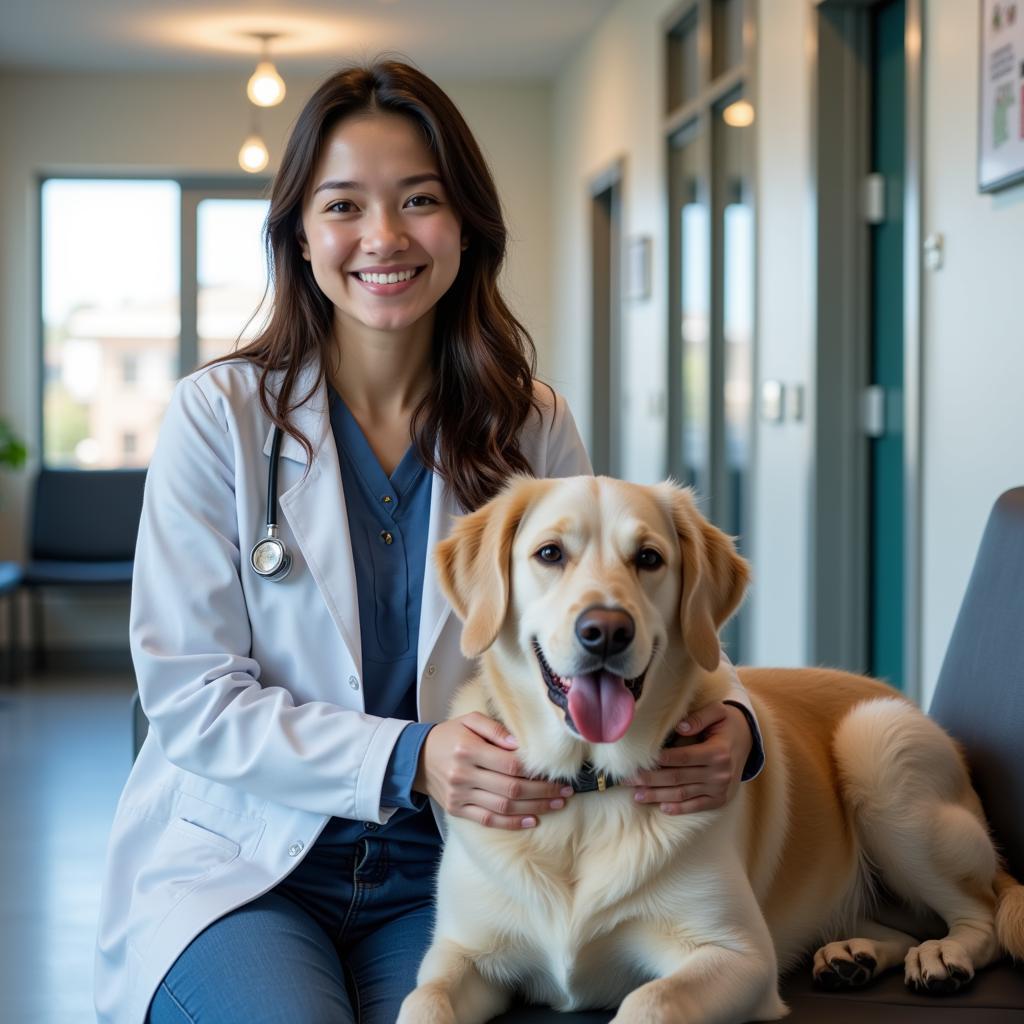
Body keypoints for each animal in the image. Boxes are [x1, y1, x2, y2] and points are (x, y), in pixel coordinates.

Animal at [397, 475, 1024, 1019]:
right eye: (550, 554)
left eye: (649, 558)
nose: (606, 631)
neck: (589, 792)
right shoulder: (457, 956)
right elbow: (420, 1001)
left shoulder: (739, 955)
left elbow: (648, 1001)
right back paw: (854, 955)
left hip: (878, 747)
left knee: (982, 915)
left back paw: (944, 956)